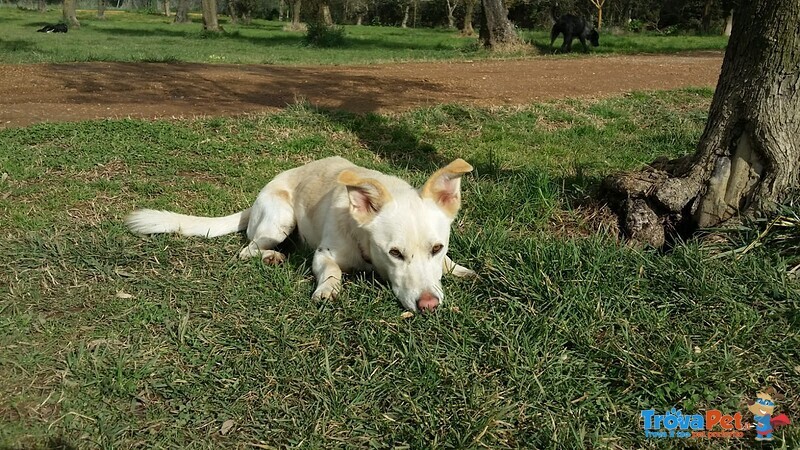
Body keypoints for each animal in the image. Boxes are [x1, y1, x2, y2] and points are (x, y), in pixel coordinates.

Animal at [125, 156, 476, 312]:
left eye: (437, 248)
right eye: (395, 253)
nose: (429, 305)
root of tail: (253, 203)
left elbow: (449, 267)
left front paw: (459, 269)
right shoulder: (324, 255)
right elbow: (332, 272)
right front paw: (328, 290)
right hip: (280, 220)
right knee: (248, 250)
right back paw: (272, 257)